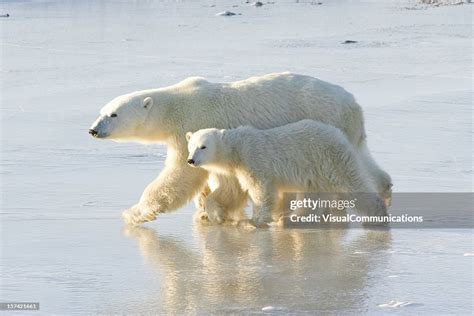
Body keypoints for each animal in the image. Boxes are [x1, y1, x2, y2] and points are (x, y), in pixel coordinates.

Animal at [186, 121, 388, 227]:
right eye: (190, 146)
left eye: (203, 146)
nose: (191, 161)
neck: (237, 148)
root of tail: (338, 133)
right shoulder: (238, 170)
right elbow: (233, 192)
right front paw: (217, 215)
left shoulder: (254, 160)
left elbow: (261, 189)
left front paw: (253, 221)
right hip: (314, 170)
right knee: (311, 194)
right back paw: (293, 218)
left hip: (329, 157)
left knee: (351, 181)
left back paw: (377, 215)